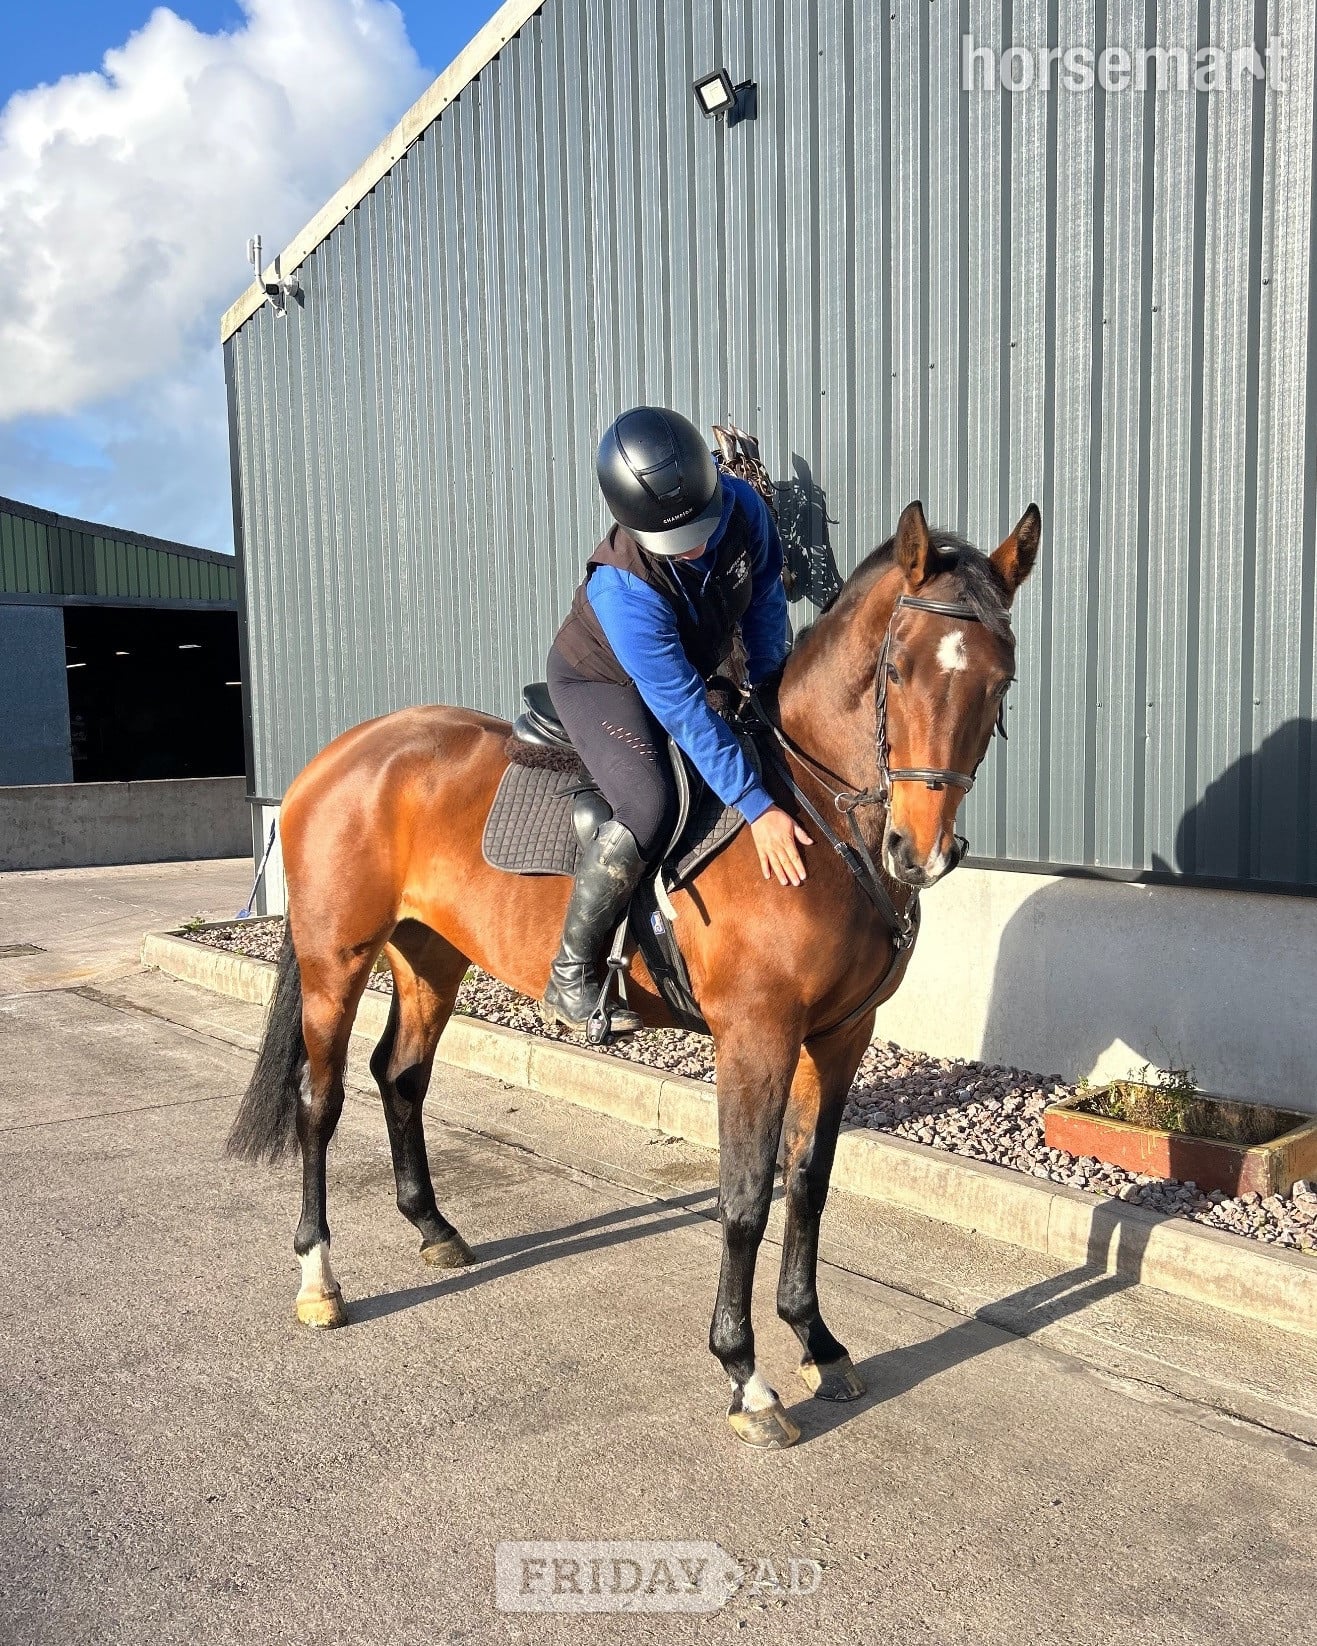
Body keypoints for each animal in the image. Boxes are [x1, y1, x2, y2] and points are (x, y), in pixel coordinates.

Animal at [225, 497, 1040, 1449]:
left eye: (1000, 681)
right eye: (898, 669)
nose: (920, 852)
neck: (806, 814)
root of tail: (342, 752)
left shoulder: (839, 1038)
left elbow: (808, 1187)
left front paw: (818, 1341)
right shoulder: (755, 1037)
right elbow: (744, 1201)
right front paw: (746, 1377)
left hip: (429, 956)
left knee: (400, 1076)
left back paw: (433, 1227)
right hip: (337, 960)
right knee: (318, 1103)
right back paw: (319, 1280)